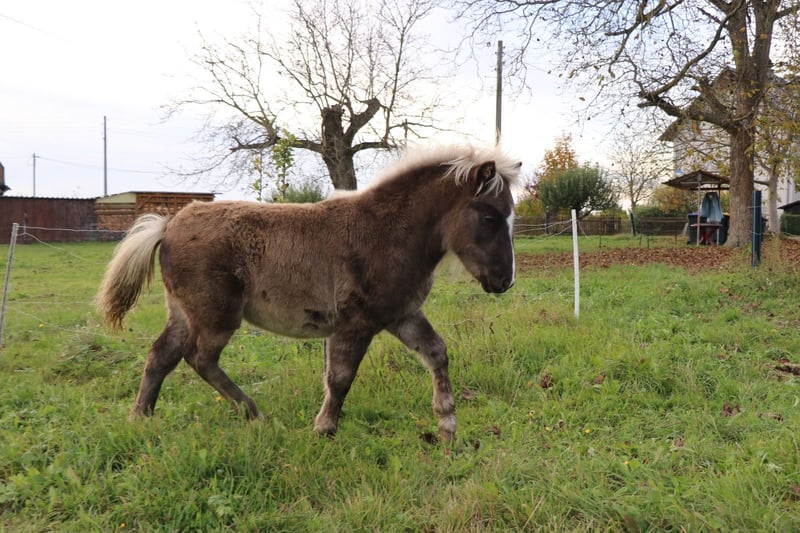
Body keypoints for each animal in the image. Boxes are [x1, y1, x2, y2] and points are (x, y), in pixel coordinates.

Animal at [96, 144, 521, 443]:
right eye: (490, 217)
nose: (504, 281)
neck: (386, 233)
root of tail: (168, 225)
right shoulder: (355, 323)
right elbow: (341, 378)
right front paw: (324, 429)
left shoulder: (402, 314)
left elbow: (437, 353)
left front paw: (448, 426)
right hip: (217, 315)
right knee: (198, 358)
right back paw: (254, 413)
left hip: (184, 312)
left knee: (161, 356)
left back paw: (141, 418)